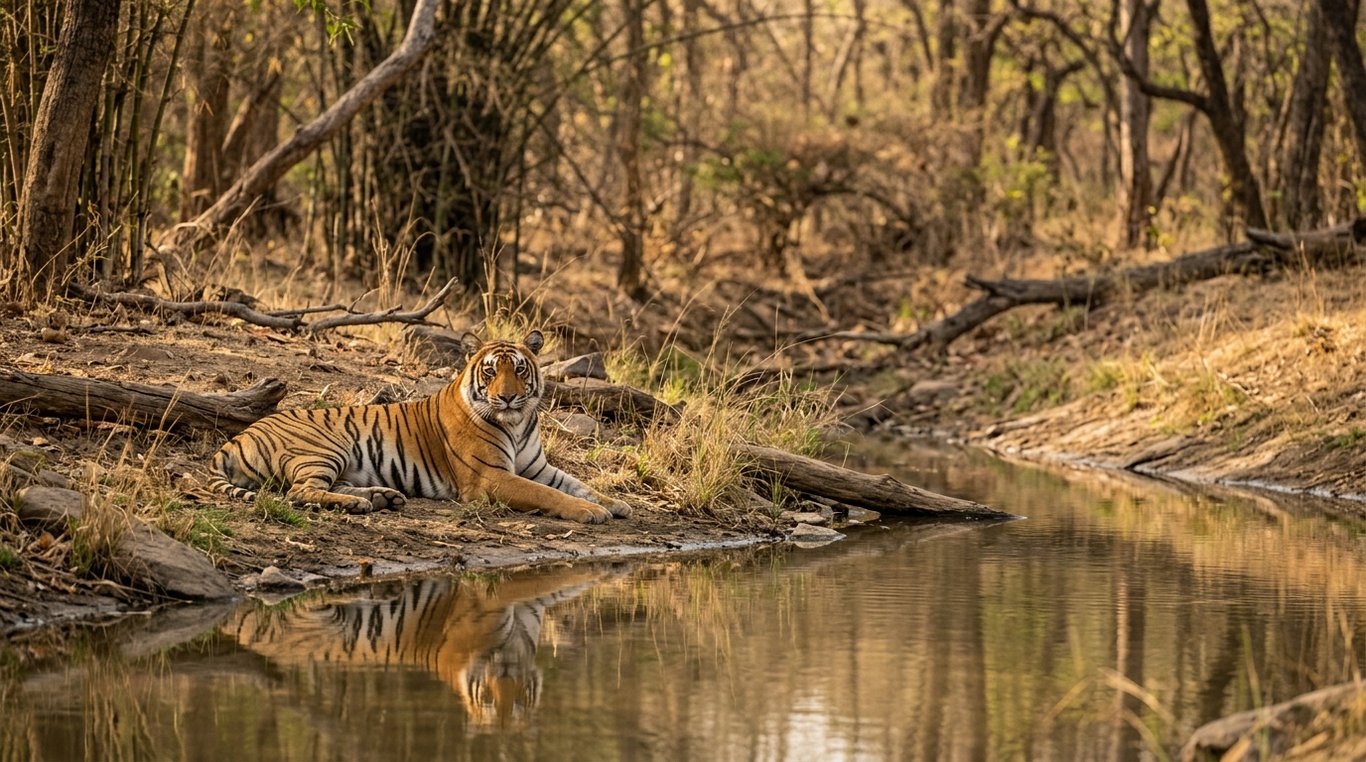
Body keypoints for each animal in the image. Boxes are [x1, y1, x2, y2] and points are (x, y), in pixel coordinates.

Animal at [208, 330, 631, 523]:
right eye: (491, 372)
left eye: (520, 370)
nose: (508, 397)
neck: (517, 422)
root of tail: (239, 436)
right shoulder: (491, 477)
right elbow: (548, 495)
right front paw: (590, 512)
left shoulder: (537, 467)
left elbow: (576, 484)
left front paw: (615, 503)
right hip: (326, 448)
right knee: (299, 492)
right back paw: (360, 504)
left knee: (323, 487)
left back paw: (380, 497)